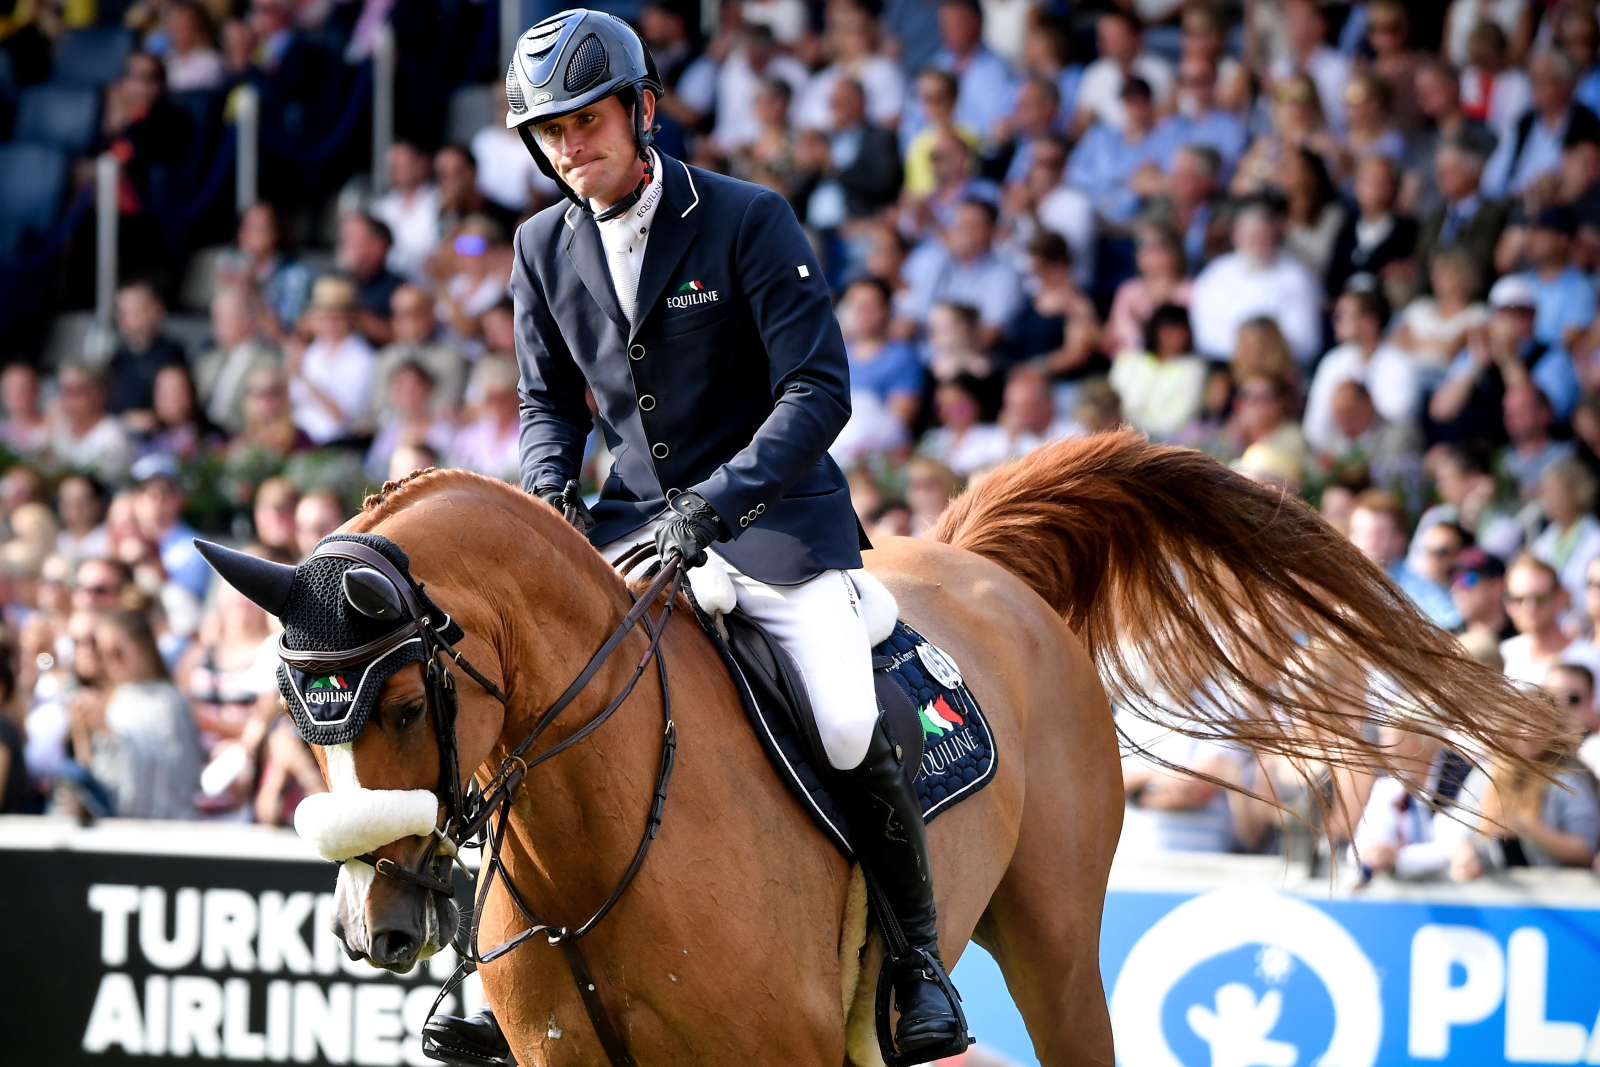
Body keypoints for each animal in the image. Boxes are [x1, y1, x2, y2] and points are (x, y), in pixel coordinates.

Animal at [308, 431, 1548, 1067]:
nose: (379, 926)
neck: (599, 835)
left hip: (1055, 944)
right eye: (296, 709)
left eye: (405, 705)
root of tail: (977, 561)